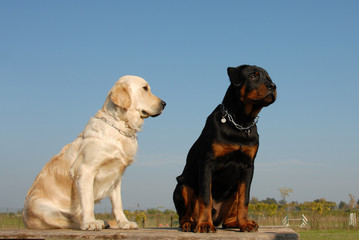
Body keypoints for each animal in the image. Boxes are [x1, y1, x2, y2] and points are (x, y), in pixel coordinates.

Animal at [173, 64, 278, 232]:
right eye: (253, 76)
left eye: (269, 78)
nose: (272, 86)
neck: (241, 122)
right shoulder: (206, 162)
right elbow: (205, 197)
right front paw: (205, 224)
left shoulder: (248, 166)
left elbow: (244, 199)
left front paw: (245, 223)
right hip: (183, 186)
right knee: (184, 214)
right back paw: (190, 223)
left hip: (233, 191)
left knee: (228, 218)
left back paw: (239, 222)